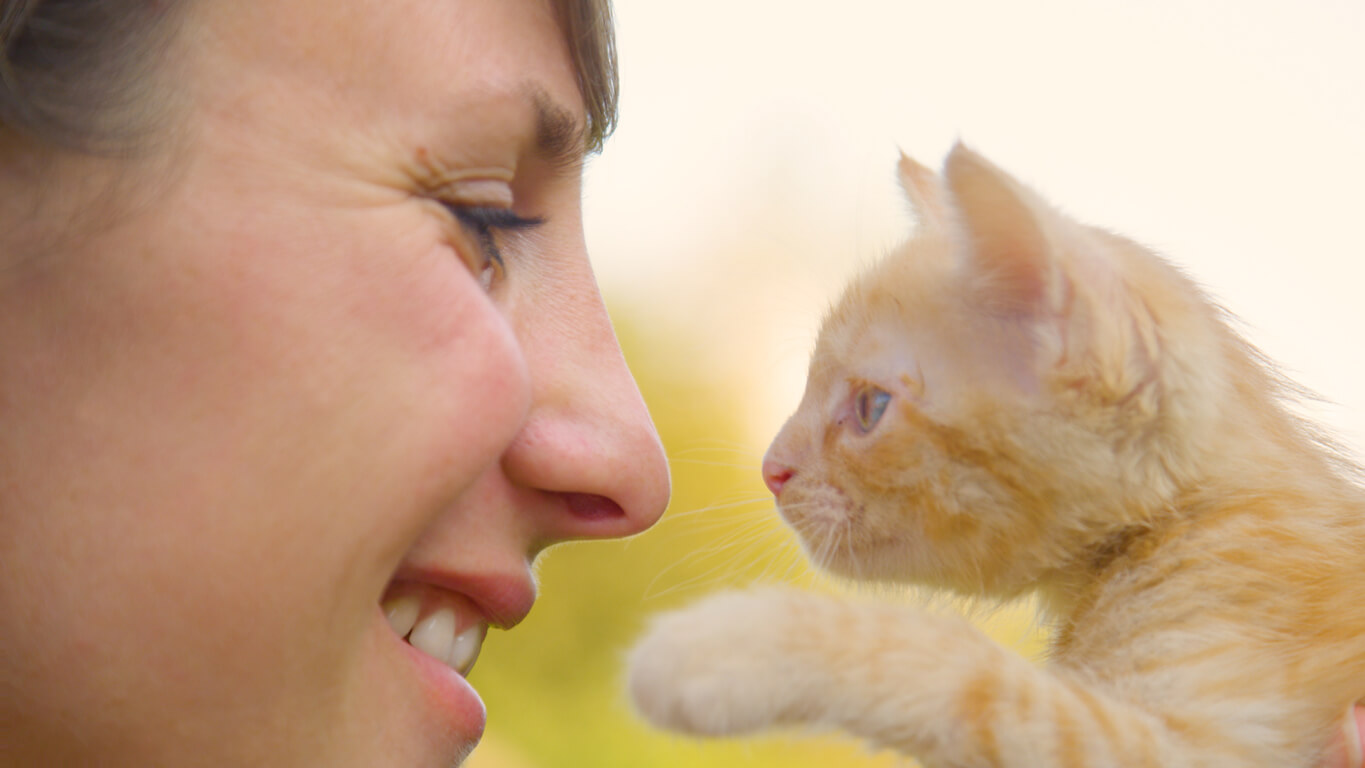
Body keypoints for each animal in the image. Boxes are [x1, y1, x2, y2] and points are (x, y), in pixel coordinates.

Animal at [627, 145, 1365, 768]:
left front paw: (723, 647)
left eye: (869, 407)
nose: (771, 469)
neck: (1171, 524)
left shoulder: (1206, 745)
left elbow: (969, 674)